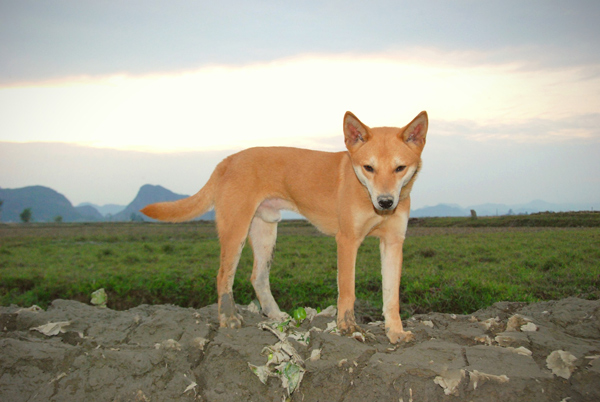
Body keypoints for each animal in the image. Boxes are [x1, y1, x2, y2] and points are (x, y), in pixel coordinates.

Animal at [142, 110, 426, 342]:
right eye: (369, 167)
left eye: (400, 168)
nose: (386, 202)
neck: (364, 192)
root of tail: (227, 160)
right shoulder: (347, 240)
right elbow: (347, 290)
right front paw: (348, 327)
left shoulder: (393, 242)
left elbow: (392, 296)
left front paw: (395, 332)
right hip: (236, 230)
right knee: (224, 276)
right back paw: (229, 318)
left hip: (266, 231)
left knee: (257, 277)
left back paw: (275, 315)